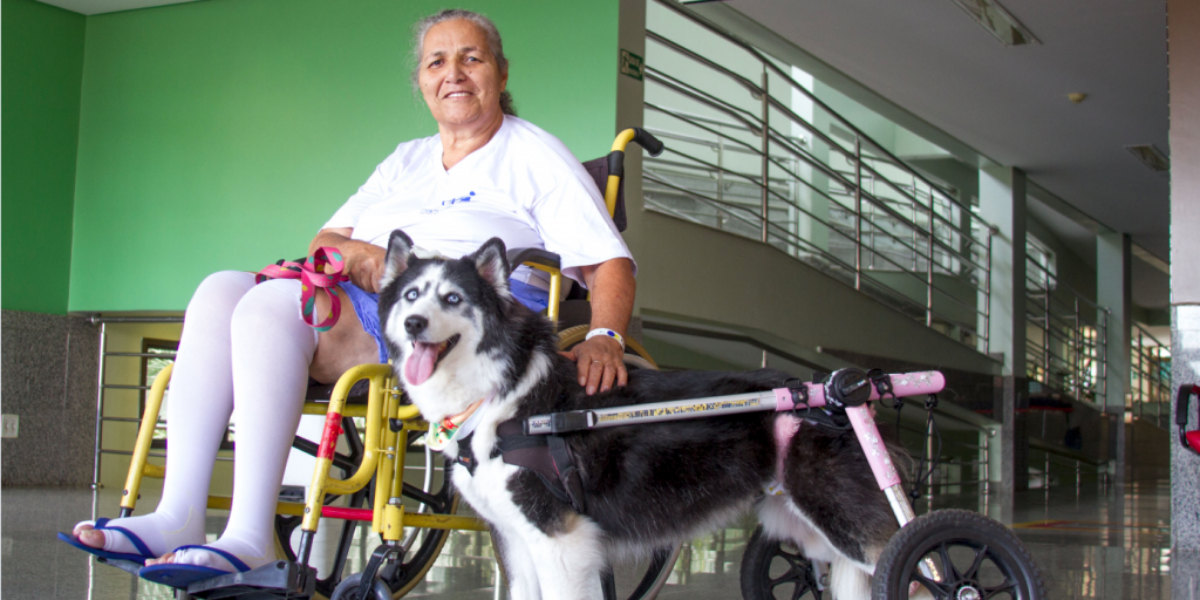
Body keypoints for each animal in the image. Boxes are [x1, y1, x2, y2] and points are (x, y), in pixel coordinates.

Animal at [379, 230, 912, 600]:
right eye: (411, 295)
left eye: (453, 298)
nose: (414, 323)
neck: (501, 395)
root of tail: (839, 388)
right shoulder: (515, 537)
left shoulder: (561, 541)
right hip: (807, 529)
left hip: (849, 524)